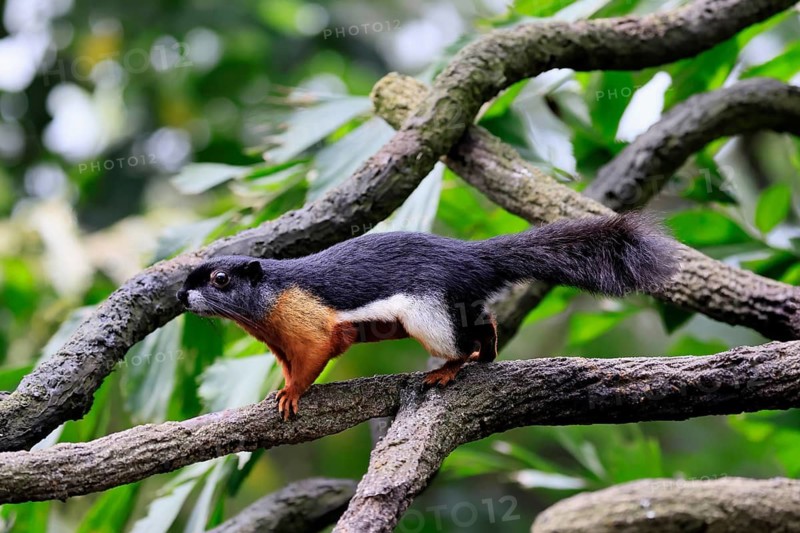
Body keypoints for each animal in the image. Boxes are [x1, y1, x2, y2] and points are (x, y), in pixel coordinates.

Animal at [177, 213, 679, 419]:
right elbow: (288, 366)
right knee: (485, 325)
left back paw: (449, 371)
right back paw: (486, 356)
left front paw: (291, 394)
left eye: (220, 279)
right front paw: (278, 390)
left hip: (430, 315)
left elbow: (315, 357)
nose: (181, 296)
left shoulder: (309, 326)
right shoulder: (281, 343)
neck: (270, 301)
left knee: (462, 342)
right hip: (457, 304)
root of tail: (473, 259)